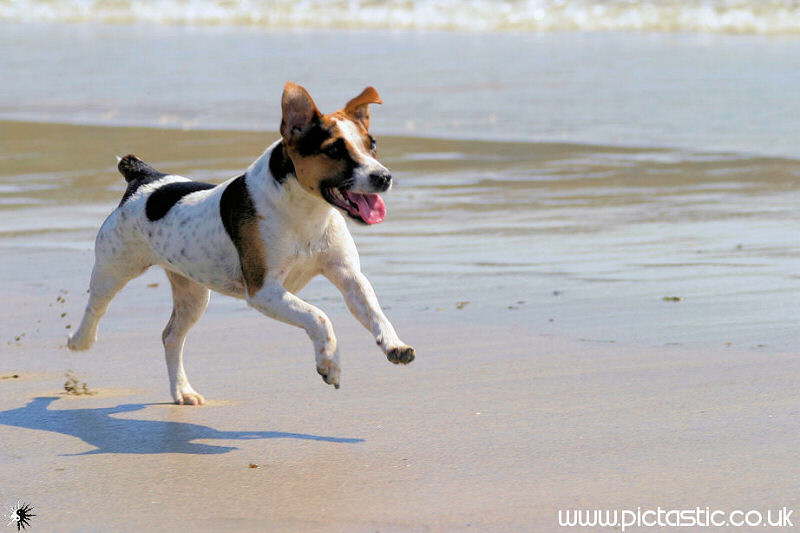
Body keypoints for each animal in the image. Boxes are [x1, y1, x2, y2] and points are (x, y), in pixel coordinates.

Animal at [68, 82, 416, 404]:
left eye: (372, 145)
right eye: (334, 150)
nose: (384, 177)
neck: (307, 212)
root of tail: (145, 178)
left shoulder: (349, 277)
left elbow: (374, 312)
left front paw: (395, 345)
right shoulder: (263, 291)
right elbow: (318, 316)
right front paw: (329, 363)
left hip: (193, 295)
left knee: (170, 337)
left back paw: (183, 391)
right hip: (114, 267)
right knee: (96, 307)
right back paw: (79, 341)